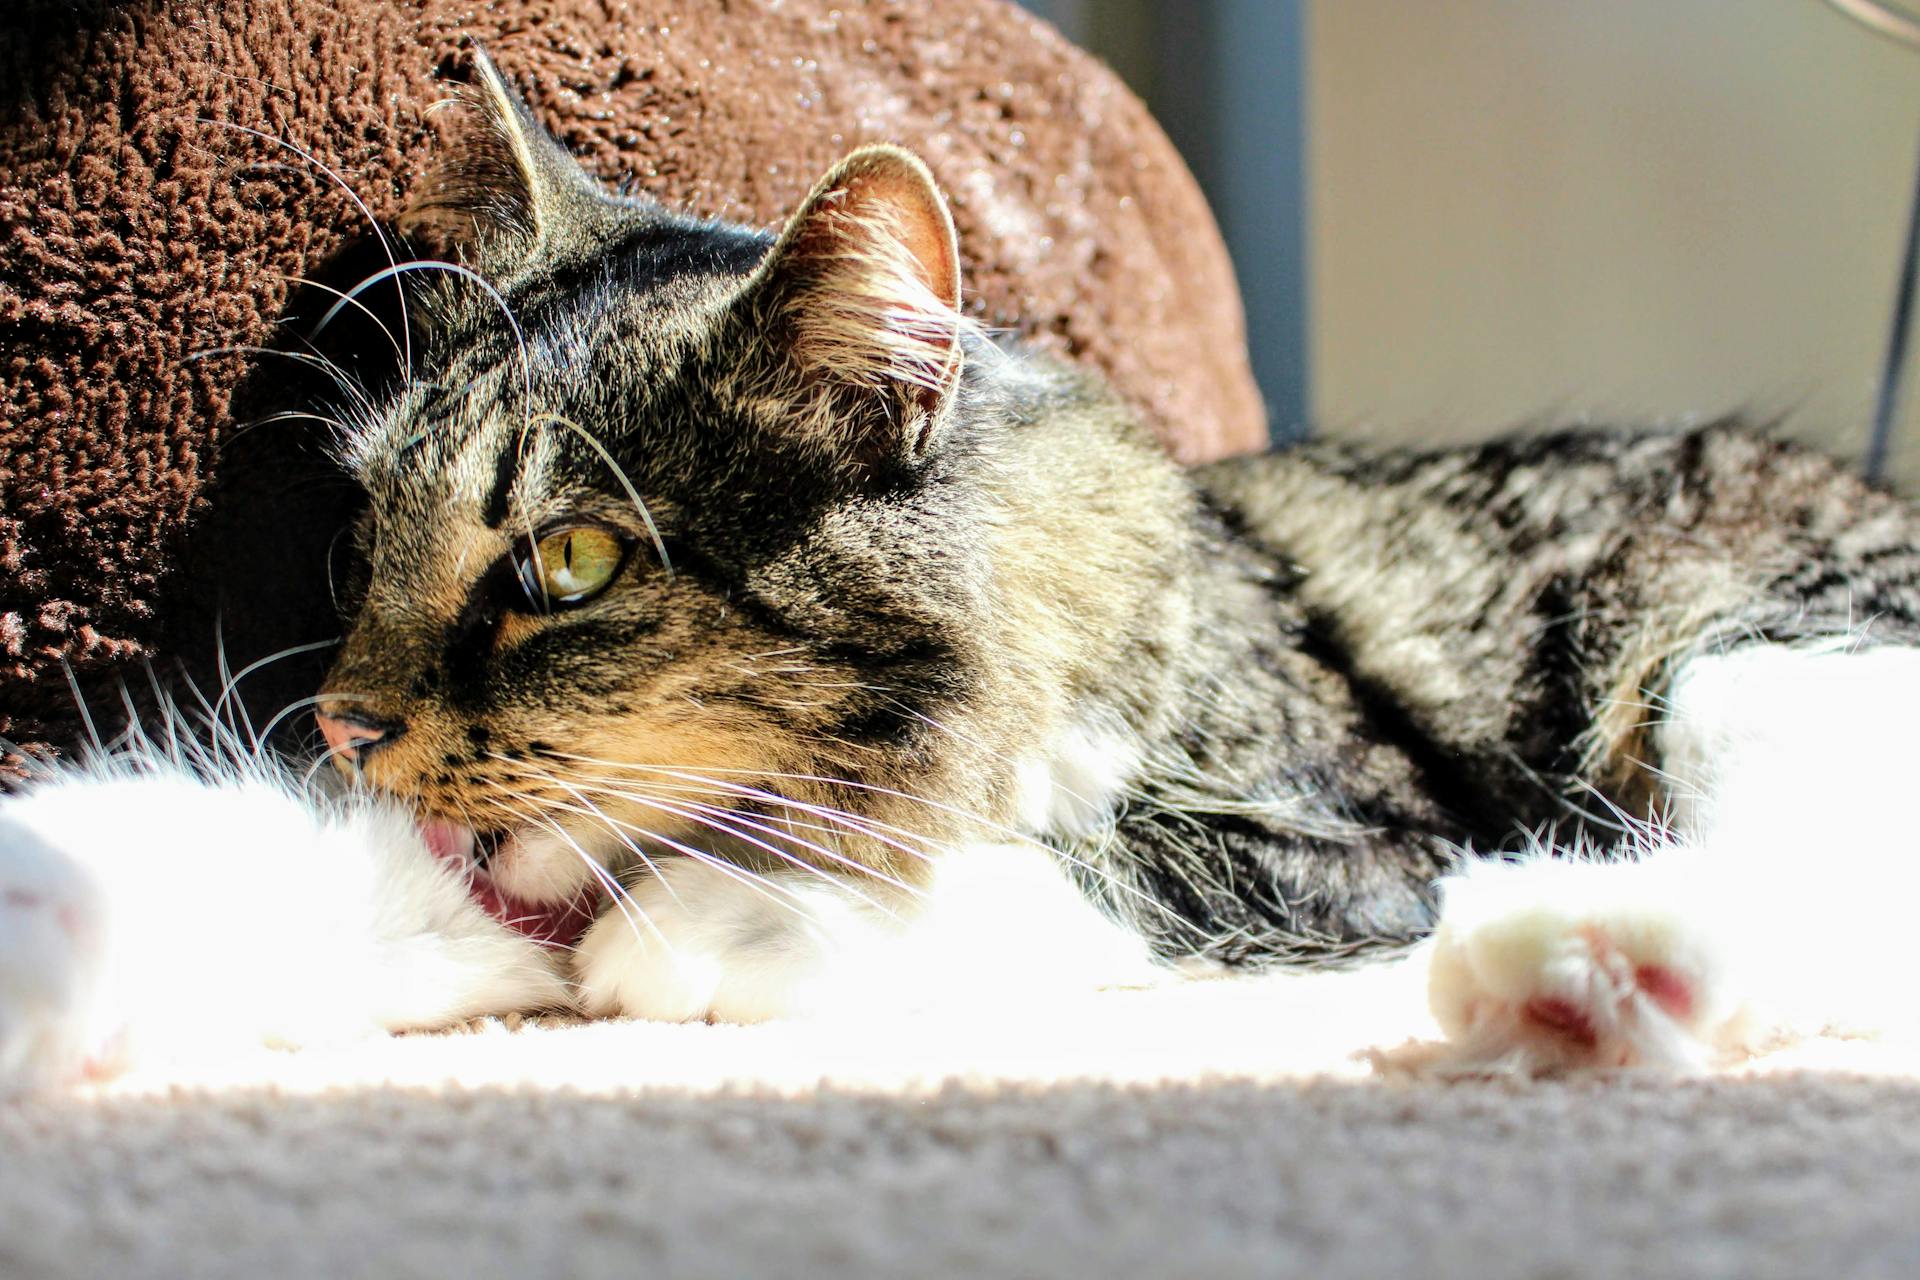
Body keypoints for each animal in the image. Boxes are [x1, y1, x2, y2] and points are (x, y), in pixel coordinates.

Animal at [3, 45, 1920, 1097]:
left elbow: (1067, 863)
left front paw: (717, 919)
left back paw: (1584, 957)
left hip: (1737, 663)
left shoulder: (1355, 833)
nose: (343, 726)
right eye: (366, 540)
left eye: (569, 558)